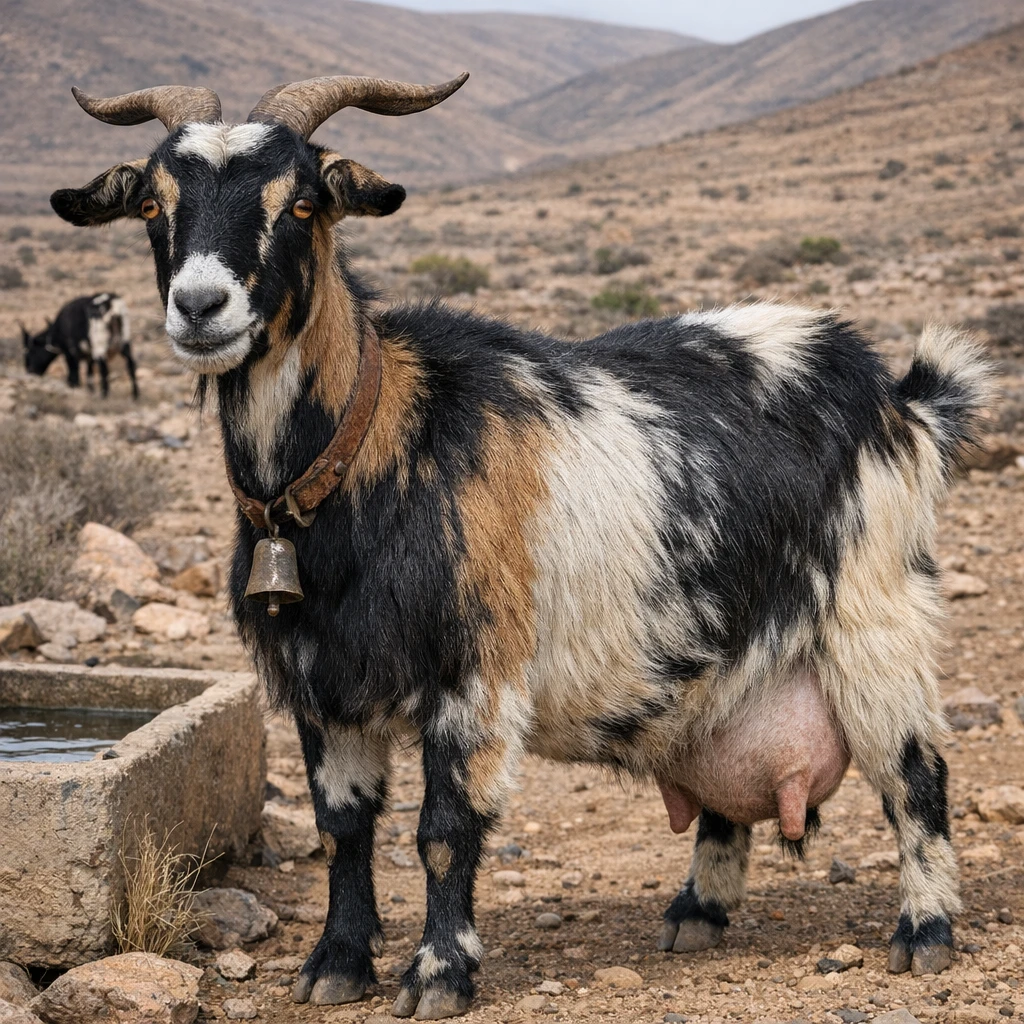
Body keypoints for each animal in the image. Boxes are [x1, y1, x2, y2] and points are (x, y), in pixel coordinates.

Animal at [52, 79, 991, 1019]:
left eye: (304, 203)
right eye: (152, 204)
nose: (200, 307)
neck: (374, 442)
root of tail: (901, 400)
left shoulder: (475, 673)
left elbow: (443, 832)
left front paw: (439, 974)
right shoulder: (326, 684)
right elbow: (343, 829)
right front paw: (337, 965)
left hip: (874, 618)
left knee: (917, 777)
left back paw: (925, 931)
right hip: (729, 655)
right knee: (731, 782)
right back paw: (695, 915)